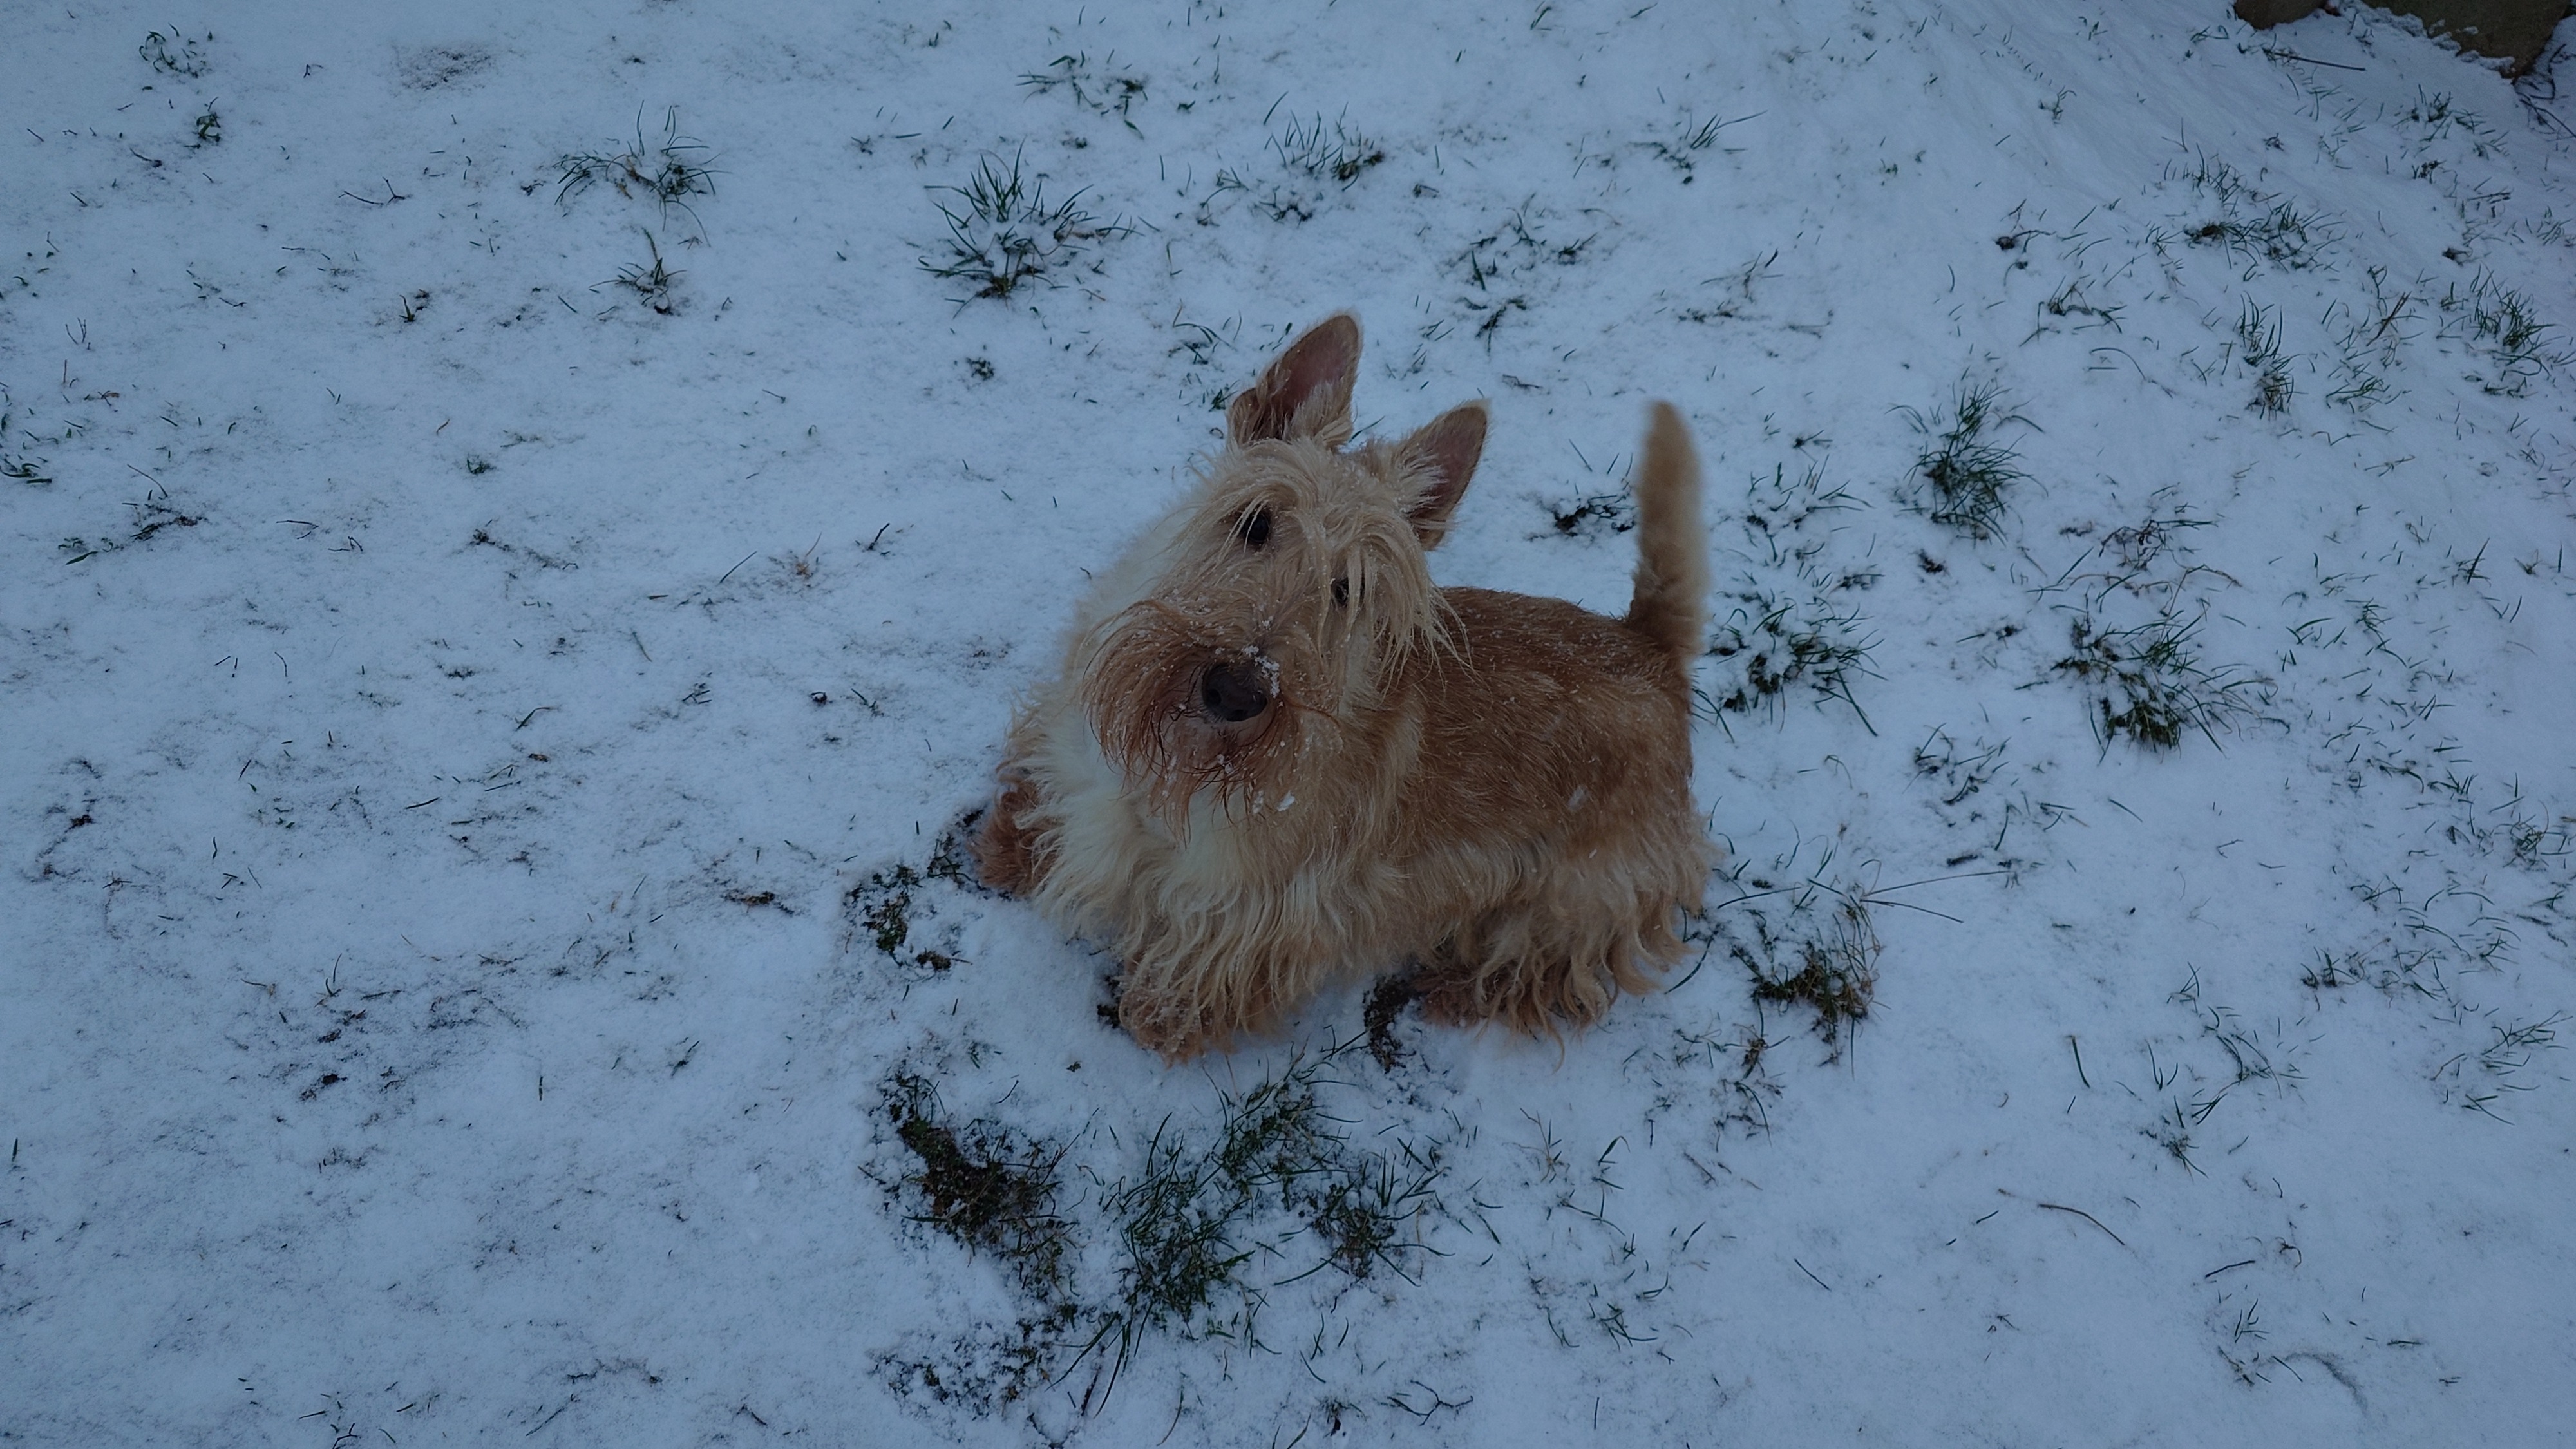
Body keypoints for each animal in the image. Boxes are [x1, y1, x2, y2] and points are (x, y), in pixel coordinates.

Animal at [974, 313, 1712, 1060]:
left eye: (1347, 590)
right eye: (1255, 522)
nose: (1236, 693)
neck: (1175, 764)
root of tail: (1649, 648)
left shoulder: (1249, 908)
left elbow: (1192, 971)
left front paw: (1162, 1018)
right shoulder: (1074, 764)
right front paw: (1009, 847)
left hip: (1584, 892)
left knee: (1550, 964)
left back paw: (1455, 988)